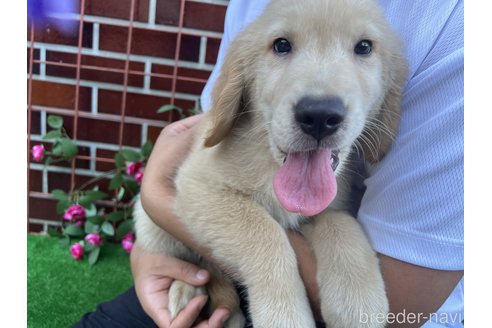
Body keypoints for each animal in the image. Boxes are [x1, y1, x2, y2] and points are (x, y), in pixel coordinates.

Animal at [135, 0, 408, 326]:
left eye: (364, 47)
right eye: (281, 45)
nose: (319, 116)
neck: (270, 163)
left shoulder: (328, 207)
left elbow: (342, 224)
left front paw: (358, 300)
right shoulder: (197, 186)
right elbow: (264, 231)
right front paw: (284, 314)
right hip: (151, 223)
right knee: (195, 263)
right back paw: (187, 290)